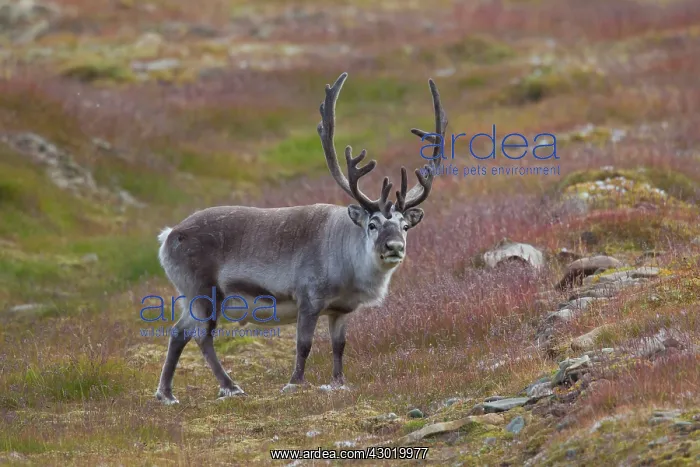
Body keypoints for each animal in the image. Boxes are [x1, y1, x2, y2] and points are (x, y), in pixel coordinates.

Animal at [154, 72, 447, 404]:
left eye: (404, 225)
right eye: (373, 224)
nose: (394, 247)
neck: (348, 262)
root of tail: (168, 236)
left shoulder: (340, 310)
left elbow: (339, 346)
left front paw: (338, 382)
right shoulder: (308, 299)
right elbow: (303, 345)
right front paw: (295, 382)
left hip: (191, 298)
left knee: (178, 332)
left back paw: (166, 394)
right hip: (204, 292)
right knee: (202, 336)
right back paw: (230, 386)